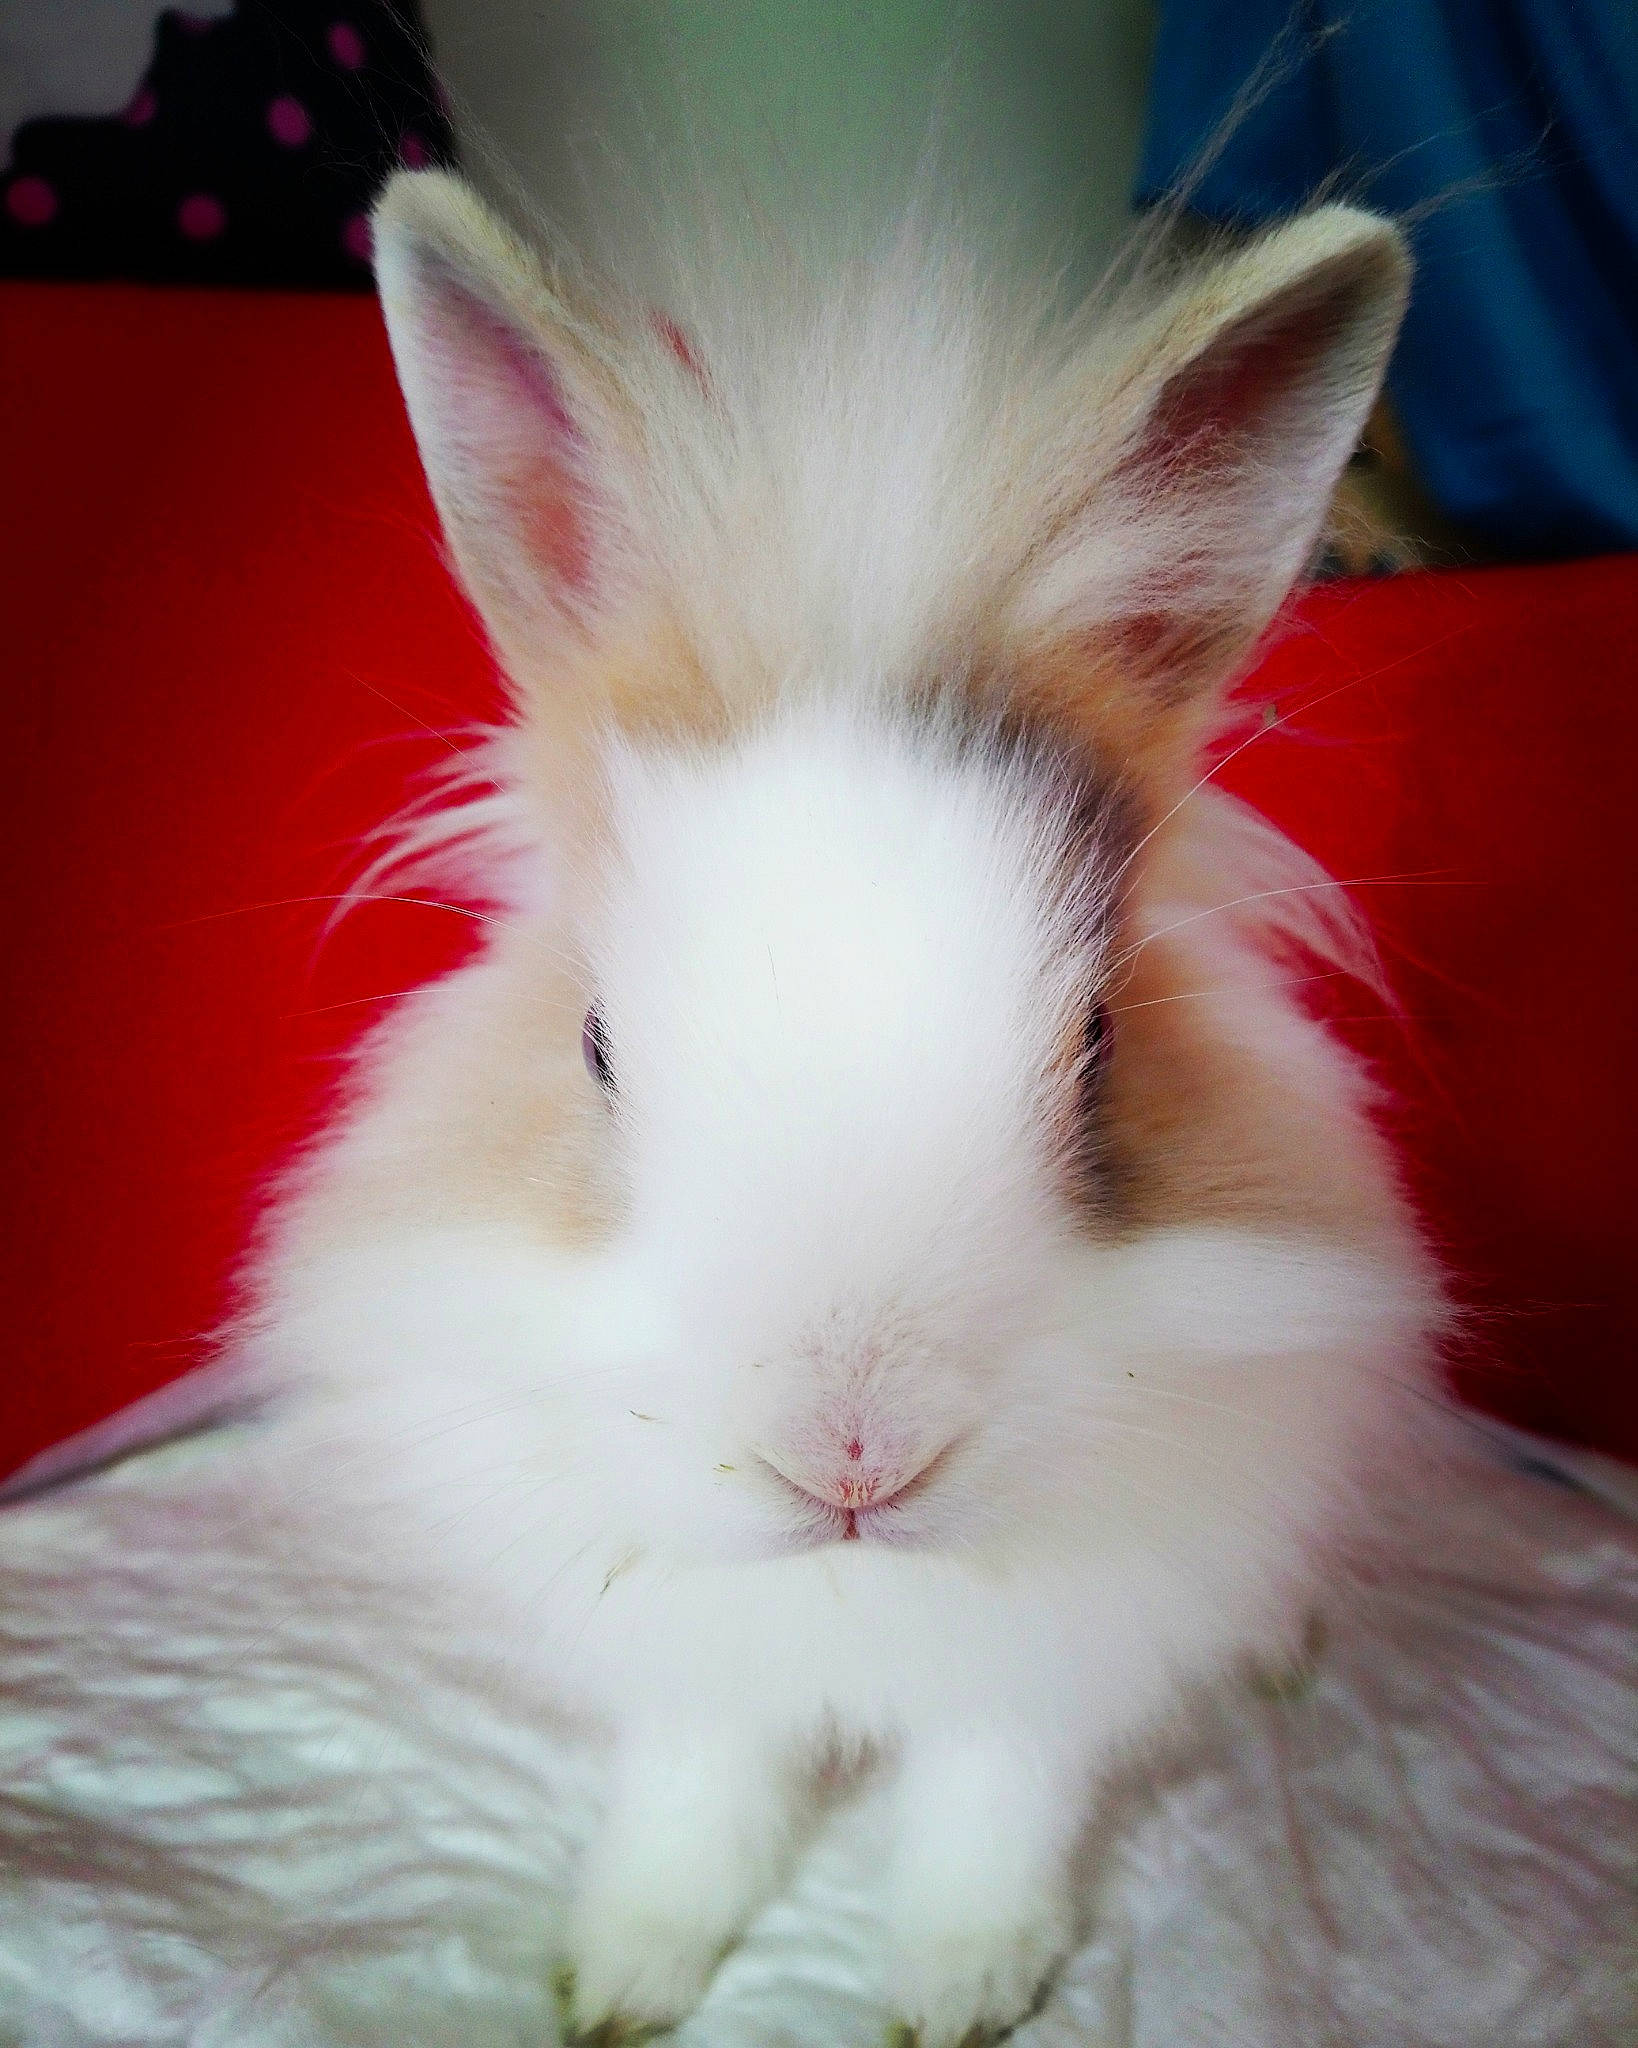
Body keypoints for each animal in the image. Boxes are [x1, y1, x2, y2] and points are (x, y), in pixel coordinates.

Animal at [232, 169, 1444, 2046]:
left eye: (1097, 1044)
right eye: (596, 1044)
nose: (855, 1457)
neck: (856, 1587)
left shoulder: (1044, 1671)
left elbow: (985, 1808)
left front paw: (961, 1987)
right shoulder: (695, 1662)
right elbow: (696, 1797)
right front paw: (620, 1974)